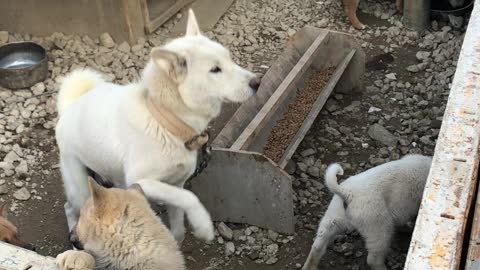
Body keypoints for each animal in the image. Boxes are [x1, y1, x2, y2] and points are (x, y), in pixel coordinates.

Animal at [54, 10, 258, 243]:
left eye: (230, 59)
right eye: (215, 70)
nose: (257, 82)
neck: (164, 122)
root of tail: (69, 106)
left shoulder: (176, 183)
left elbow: (178, 223)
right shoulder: (140, 180)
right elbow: (190, 197)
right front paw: (203, 225)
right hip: (78, 186)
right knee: (69, 207)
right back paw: (74, 234)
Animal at [304, 154, 432, 270]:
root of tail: (346, 193)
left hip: (334, 215)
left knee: (318, 245)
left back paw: (309, 266)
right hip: (377, 223)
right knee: (374, 258)